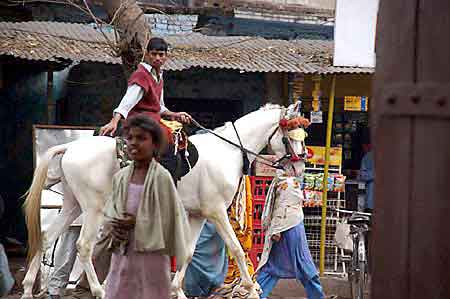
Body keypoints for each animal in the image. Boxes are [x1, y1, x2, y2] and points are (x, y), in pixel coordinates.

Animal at [22, 103, 308, 299]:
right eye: (289, 137)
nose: (300, 168)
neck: (227, 151)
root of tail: (70, 147)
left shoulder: (197, 215)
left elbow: (188, 252)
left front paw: (176, 291)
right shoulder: (216, 211)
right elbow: (236, 248)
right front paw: (252, 289)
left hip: (72, 205)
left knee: (46, 237)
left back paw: (27, 288)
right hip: (93, 208)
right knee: (83, 246)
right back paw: (98, 290)